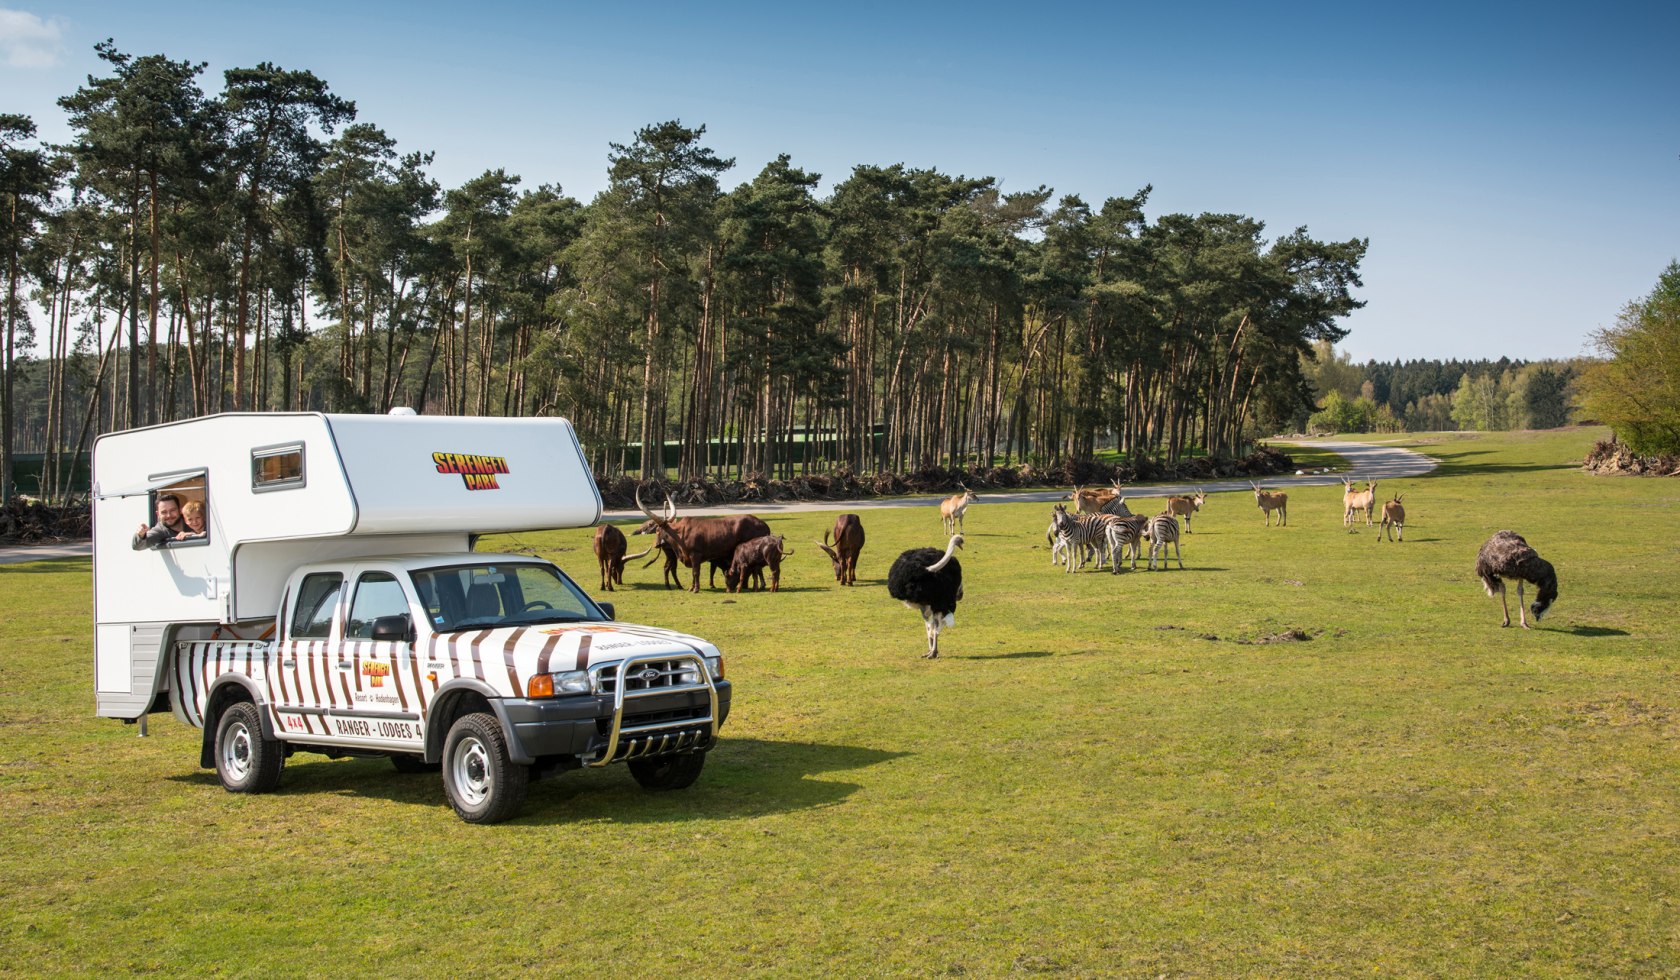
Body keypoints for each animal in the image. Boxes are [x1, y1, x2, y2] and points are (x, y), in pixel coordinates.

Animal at [631, 487, 769, 595]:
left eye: (657, 531)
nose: (657, 545)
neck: (679, 534)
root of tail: (763, 524)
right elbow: (694, 572)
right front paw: (692, 587)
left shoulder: (695, 555)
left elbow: (695, 572)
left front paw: (696, 589)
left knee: (757, 569)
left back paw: (757, 586)